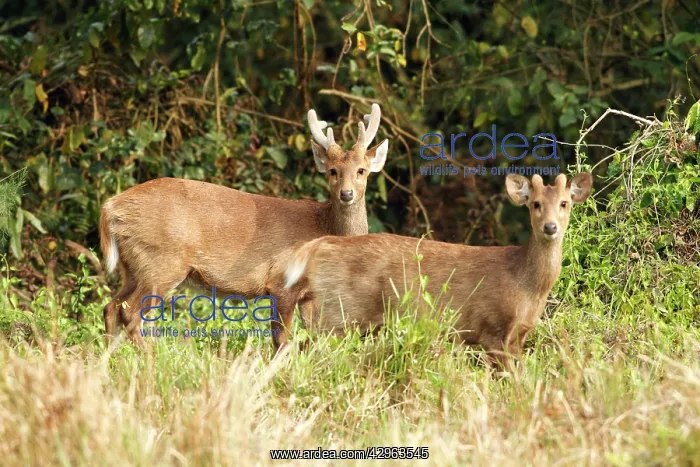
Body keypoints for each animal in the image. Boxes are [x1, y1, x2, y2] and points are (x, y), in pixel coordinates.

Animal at [100, 104, 389, 347]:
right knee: (131, 314)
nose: (346, 194)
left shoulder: (309, 294)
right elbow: (281, 339)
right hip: (161, 261)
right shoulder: (281, 281)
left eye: (362, 170)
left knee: (110, 307)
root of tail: (110, 207)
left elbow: (314, 336)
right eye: (332, 171)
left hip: (133, 266)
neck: (322, 227)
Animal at [280, 173, 592, 368]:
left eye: (564, 203)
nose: (550, 227)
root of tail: (321, 245)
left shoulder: (518, 335)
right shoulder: (493, 328)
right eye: (535, 203)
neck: (527, 287)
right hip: (337, 315)